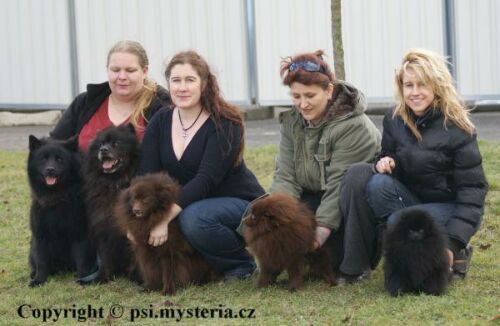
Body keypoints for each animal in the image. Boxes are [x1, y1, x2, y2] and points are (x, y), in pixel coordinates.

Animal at [27, 135, 96, 288]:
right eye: (43, 159)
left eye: (60, 159)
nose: (50, 169)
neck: (56, 198)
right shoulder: (40, 237)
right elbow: (41, 261)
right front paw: (39, 280)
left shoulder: (79, 235)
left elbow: (82, 260)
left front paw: (83, 278)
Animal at [83, 125, 140, 282]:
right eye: (101, 144)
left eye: (116, 143)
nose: (103, 150)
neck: (114, 183)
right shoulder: (103, 228)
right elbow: (105, 257)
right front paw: (103, 277)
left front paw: (137, 277)